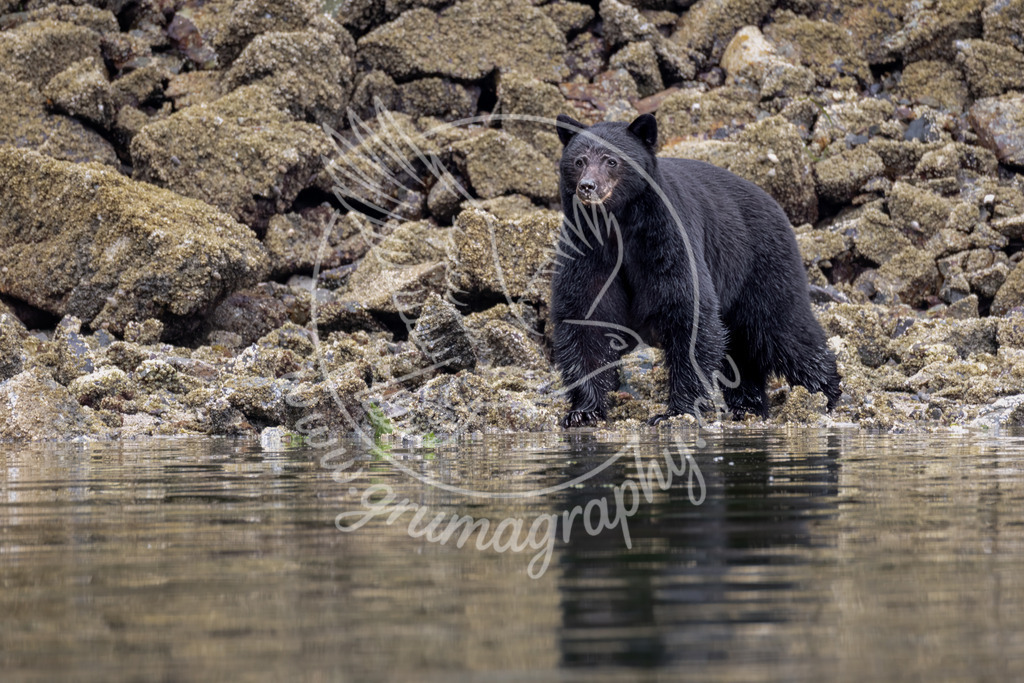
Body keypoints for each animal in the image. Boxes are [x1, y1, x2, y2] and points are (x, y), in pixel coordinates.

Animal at [551, 113, 841, 427]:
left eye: (611, 160)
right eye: (579, 160)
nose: (588, 186)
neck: (618, 226)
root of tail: (776, 205)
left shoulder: (668, 242)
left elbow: (688, 311)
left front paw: (675, 411)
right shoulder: (587, 249)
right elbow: (584, 317)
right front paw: (584, 411)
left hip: (762, 264)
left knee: (783, 329)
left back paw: (826, 394)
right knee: (742, 350)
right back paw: (748, 406)